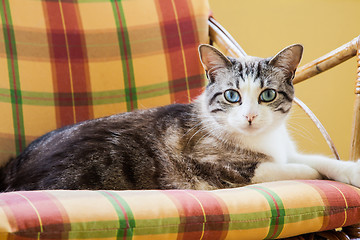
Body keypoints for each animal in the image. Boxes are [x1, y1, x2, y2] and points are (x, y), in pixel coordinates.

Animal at [0, 44, 360, 192]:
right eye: (232, 95)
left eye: (267, 95)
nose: (249, 117)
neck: (262, 139)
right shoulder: (215, 165)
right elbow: (295, 168)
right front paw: (314, 173)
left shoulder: (285, 148)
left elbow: (317, 159)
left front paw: (350, 171)